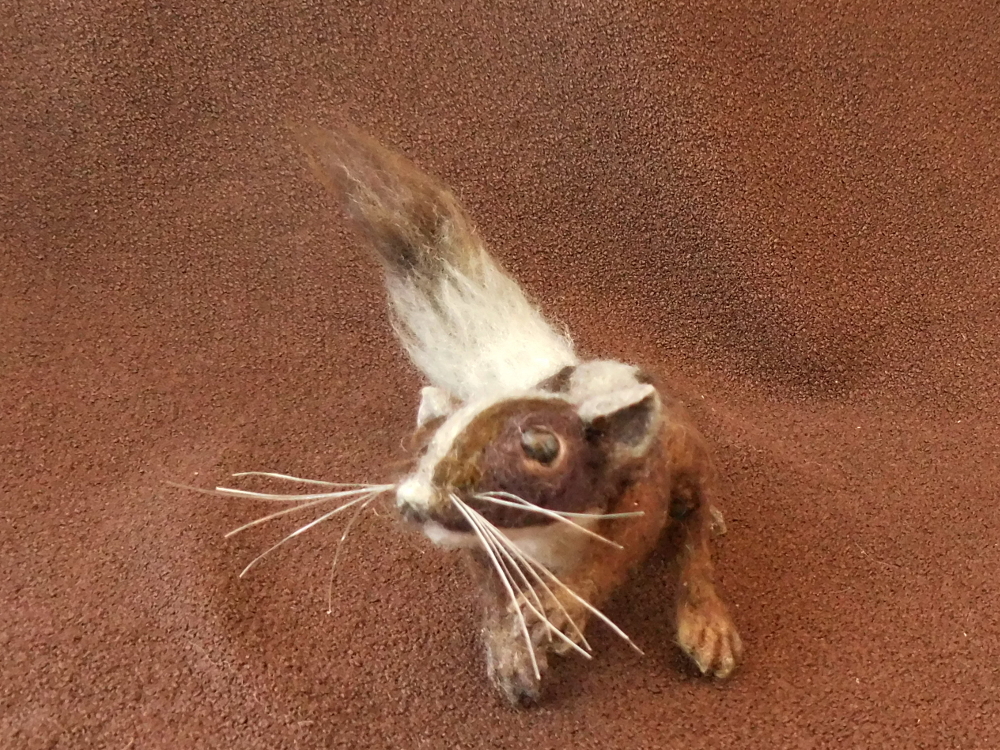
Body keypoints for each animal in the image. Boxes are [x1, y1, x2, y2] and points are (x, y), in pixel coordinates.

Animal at [283, 122, 744, 707]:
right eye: (421, 443)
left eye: (543, 448)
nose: (415, 502)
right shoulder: (482, 537)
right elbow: (490, 583)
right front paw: (512, 652)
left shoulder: (645, 476)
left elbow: (626, 542)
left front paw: (559, 609)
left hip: (689, 452)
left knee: (696, 530)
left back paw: (707, 614)